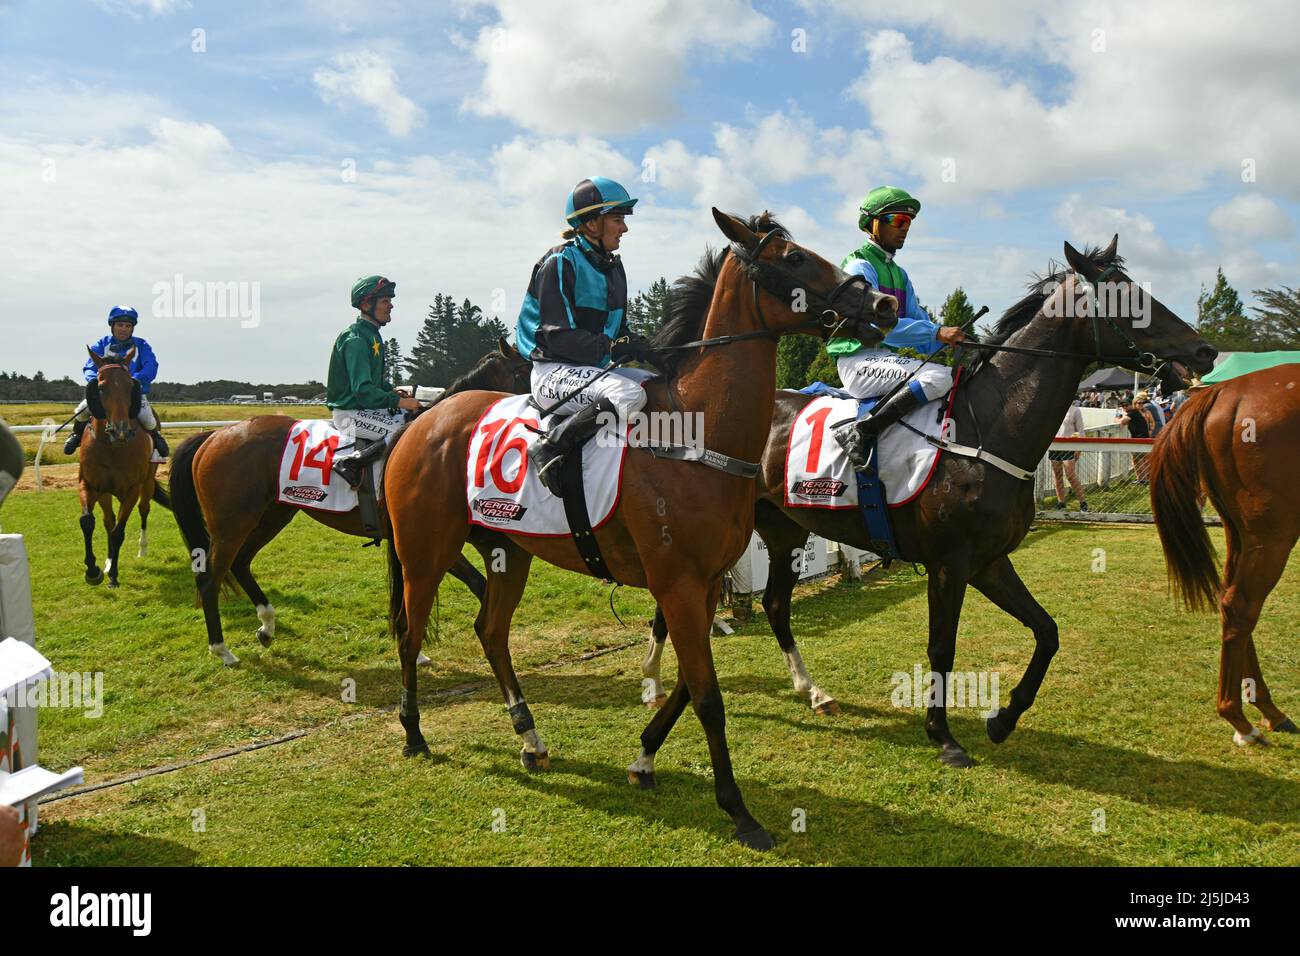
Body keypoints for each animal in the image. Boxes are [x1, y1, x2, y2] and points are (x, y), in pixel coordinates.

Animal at [76, 348, 160, 587]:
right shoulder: (89, 484)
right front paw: (93, 570)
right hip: (105, 493)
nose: (120, 431)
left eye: (131, 386)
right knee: (108, 520)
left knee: (143, 510)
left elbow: (118, 532)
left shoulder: (132, 489)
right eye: (101, 387)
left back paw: (142, 549)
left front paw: (113, 575)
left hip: (147, 483)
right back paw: (107, 561)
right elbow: (88, 521)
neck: (112, 447)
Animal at [165, 343, 530, 665]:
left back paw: (266, 627)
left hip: (271, 515)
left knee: (240, 563)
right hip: (231, 525)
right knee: (210, 578)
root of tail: (214, 435)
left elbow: (472, 584)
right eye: (526, 370)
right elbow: (476, 584)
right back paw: (222, 650)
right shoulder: (426, 539)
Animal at [379, 209, 899, 853]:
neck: (698, 434)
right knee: (410, 636)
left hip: (507, 550)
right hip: (425, 553)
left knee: (491, 632)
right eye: (795, 257)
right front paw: (739, 811)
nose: (883, 302)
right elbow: (707, 695)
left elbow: (687, 682)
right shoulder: (677, 583)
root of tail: (421, 421)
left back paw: (530, 738)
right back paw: (414, 733)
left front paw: (645, 757)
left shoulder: (702, 584)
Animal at [644, 238, 1222, 770]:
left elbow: (1048, 632)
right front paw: (943, 736)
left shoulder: (990, 561)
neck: (986, 427)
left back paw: (811, 690)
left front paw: (1003, 717)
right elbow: (941, 648)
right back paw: (653, 680)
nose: (1204, 353)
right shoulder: (950, 564)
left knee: (774, 605)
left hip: (783, 529)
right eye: (1129, 298)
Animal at [1154, 366, 1294, 749]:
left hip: (1240, 529)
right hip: (1272, 534)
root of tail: (1223, 392)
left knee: (1232, 601)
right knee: (1241, 605)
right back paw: (1242, 719)